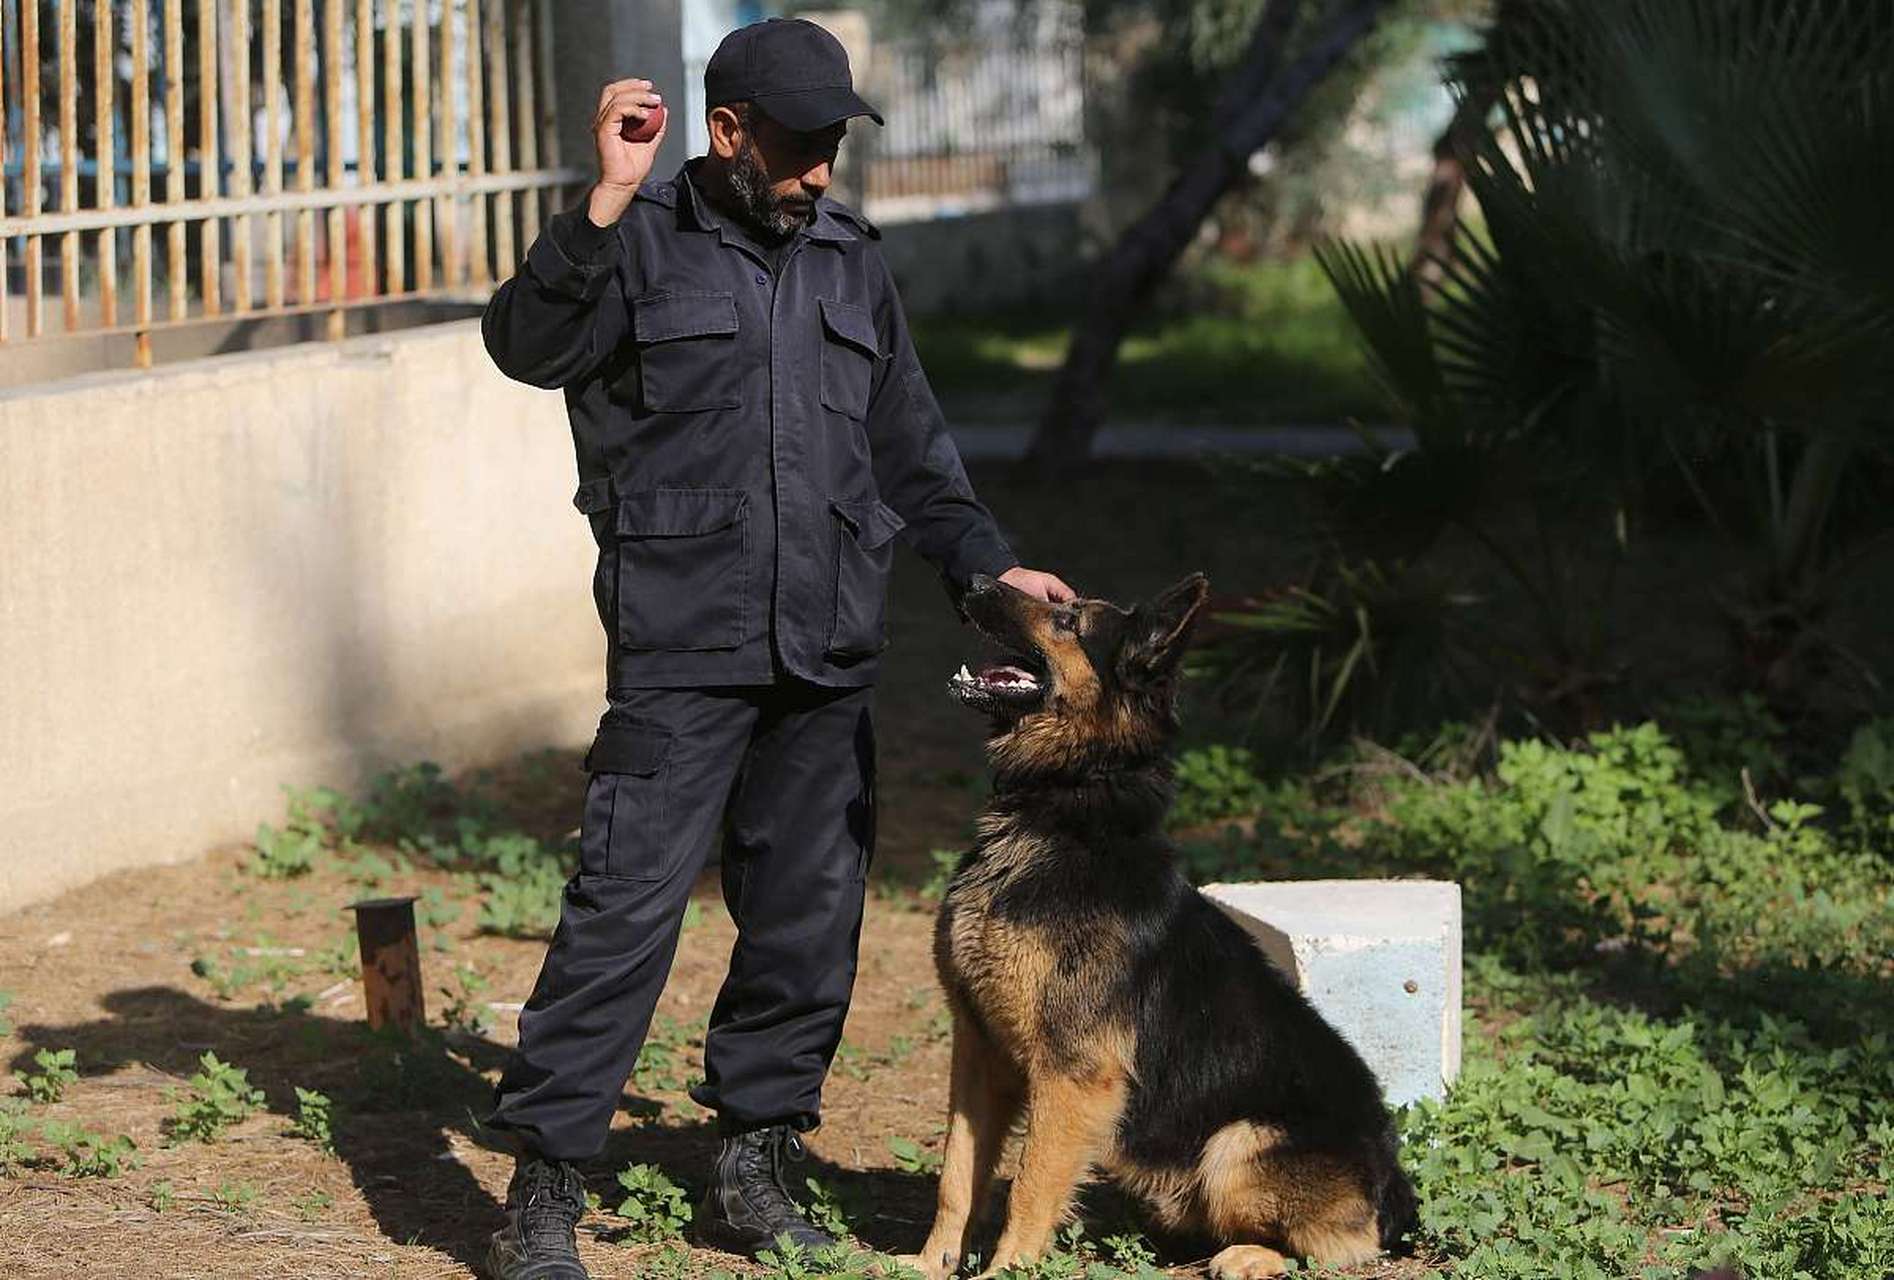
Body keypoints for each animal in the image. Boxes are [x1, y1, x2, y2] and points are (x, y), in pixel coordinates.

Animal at [909, 575, 1416, 1272]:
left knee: (1341, 1247)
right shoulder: (979, 1053)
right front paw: (926, 1265)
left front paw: (1008, 1271)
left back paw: (1250, 1256)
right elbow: (956, 1178)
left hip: (1236, 1144)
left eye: (1068, 619)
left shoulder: (1072, 1076)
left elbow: (1031, 1188)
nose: (972, 582)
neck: (1068, 799)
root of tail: (1393, 1187)